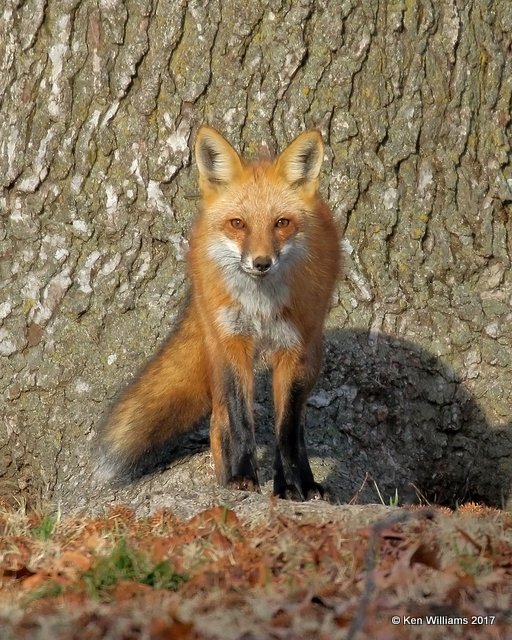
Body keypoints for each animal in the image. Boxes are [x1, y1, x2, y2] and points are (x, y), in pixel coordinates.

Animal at [99, 124, 340, 500]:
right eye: (238, 223)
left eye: (281, 223)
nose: (261, 263)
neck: (260, 306)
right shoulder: (231, 343)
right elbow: (240, 422)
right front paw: (241, 476)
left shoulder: (293, 350)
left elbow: (285, 431)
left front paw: (289, 485)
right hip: (214, 341)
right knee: (218, 419)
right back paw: (224, 476)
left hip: (311, 355)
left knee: (296, 425)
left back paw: (304, 482)